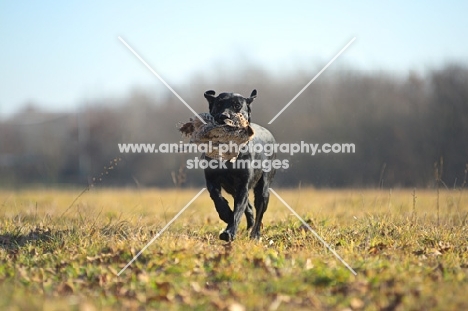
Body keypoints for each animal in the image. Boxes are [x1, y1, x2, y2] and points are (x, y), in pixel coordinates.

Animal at [204, 89, 276, 243]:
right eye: (218, 104)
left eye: (237, 106)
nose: (224, 116)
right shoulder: (211, 179)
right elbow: (217, 197)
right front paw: (225, 213)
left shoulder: (243, 185)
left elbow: (238, 211)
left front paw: (229, 233)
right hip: (232, 188)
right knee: (249, 207)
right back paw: (248, 227)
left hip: (263, 189)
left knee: (258, 211)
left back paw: (255, 235)